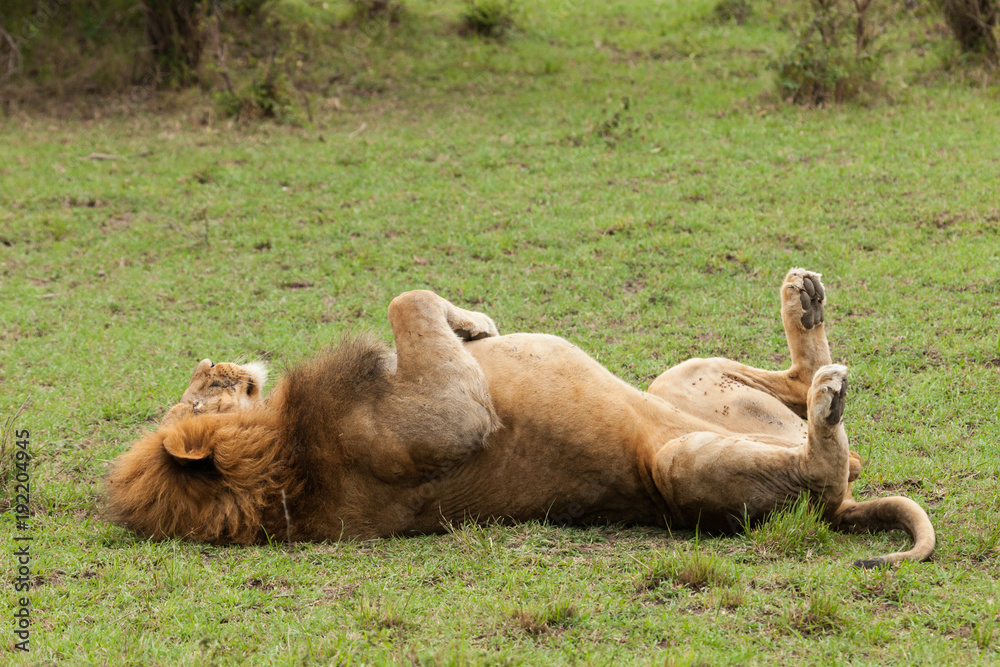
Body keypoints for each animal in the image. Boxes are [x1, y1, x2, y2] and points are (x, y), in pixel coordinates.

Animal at [105, 268, 935, 568]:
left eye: (196, 385)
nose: (212, 359)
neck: (282, 456)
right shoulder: (451, 417)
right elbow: (407, 301)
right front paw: (475, 322)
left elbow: (413, 302)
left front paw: (477, 325)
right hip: (683, 463)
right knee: (822, 472)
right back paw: (828, 401)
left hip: (683, 380)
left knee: (807, 401)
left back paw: (806, 302)